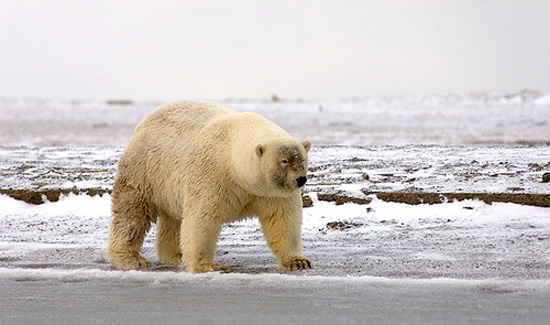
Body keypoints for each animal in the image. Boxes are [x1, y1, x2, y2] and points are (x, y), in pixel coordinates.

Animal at [106, 100, 314, 272]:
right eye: (284, 161)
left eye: (303, 160)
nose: (301, 179)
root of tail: (142, 123)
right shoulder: (213, 175)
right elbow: (202, 218)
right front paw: (207, 265)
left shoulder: (271, 192)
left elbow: (282, 220)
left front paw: (298, 262)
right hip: (145, 171)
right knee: (132, 214)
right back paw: (131, 259)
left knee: (174, 220)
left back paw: (177, 255)